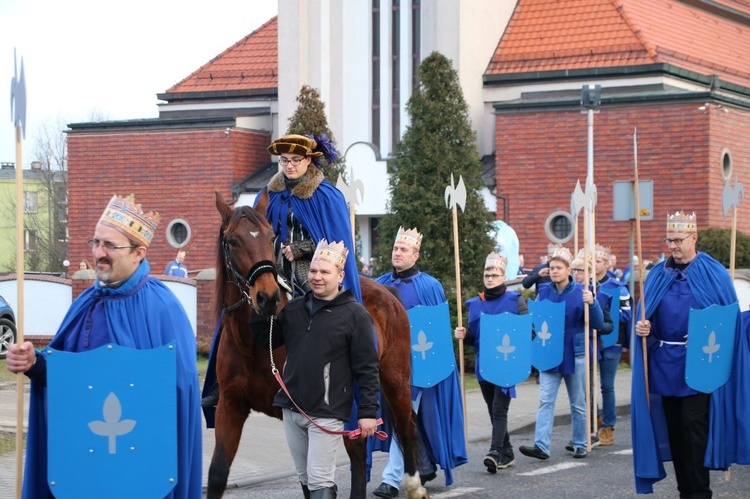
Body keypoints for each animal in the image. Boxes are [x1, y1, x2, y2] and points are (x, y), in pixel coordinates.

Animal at [207, 194, 428, 499]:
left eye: (270, 236)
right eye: (233, 241)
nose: (267, 297)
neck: (253, 343)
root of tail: (388, 292)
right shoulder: (231, 405)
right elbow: (218, 472)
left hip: (394, 380)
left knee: (402, 428)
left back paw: (414, 485)